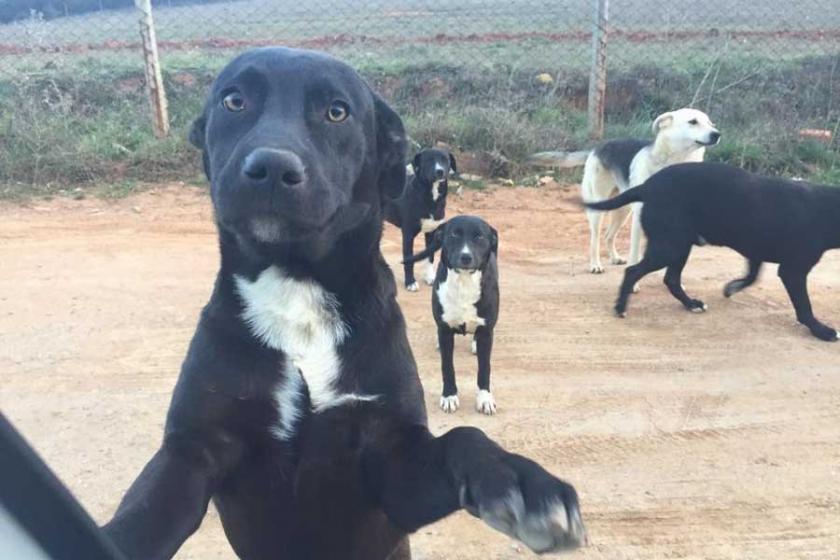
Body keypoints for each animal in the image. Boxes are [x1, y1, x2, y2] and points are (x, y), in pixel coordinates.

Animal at [386, 147, 456, 290]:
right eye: (429, 160)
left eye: (445, 160)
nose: (440, 171)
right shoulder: (407, 234)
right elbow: (408, 260)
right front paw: (410, 282)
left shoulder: (432, 231)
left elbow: (430, 257)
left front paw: (430, 278)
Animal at [406, 214, 498, 416]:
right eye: (454, 235)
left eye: (480, 237)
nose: (466, 256)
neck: (464, 282)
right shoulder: (446, 331)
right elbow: (447, 367)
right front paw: (449, 397)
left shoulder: (486, 330)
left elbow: (484, 368)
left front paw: (485, 399)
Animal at [576, 107, 720, 274]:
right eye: (693, 122)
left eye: (710, 123)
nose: (717, 134)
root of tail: (600, 145)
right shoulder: (640, 215)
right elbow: (634, 252)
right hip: (599, 207)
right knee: (595, 238)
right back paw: (595, 265)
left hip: (623, 210)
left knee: (608, 235)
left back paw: (615, 258)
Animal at [588, 159, 840, 342]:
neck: (827, 209)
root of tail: (647, 186)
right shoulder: (793, 271)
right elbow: (804, 307)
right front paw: (822, 331)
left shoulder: (755, 252)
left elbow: (752, 276)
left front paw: (731, 287)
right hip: (668, 247)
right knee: (633, 272)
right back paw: (620, 307)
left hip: (679, 246)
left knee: (671, 279)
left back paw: (691, 304)